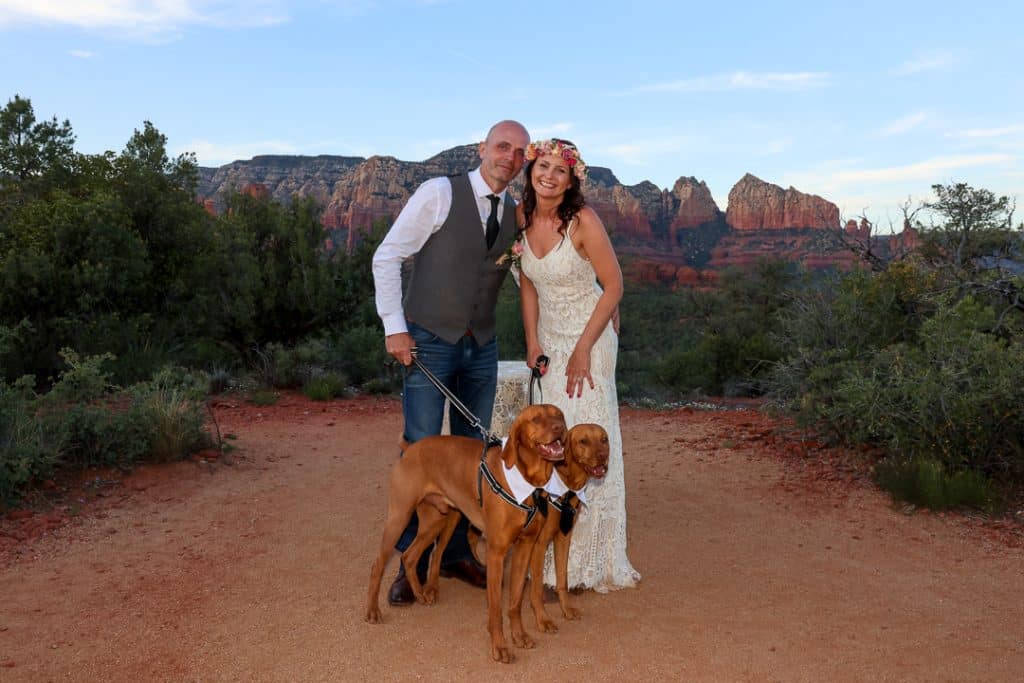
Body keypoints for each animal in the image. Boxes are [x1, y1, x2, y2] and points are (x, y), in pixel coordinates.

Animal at [364, 403, 565, 663]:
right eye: (537, 419)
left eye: (559, 415)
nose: (560, 427)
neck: (526, 480)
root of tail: (410, 449)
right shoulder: (496, 552)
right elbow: (496, 608)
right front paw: (499, 646)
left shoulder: (525, 547)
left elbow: (515, 602)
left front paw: (519, 636)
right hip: (399, 517)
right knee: (378, 565)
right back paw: (372, 610)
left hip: (440, 520)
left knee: (410, 556)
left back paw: (420, 594)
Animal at [516, 423, 602, 634]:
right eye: (583, 441)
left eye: (603, 439)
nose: (603, 454)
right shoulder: (539, 544)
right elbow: (537, 588)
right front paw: (542, 619)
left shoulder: (563, 537)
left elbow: (562, 578)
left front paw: (566, 609)